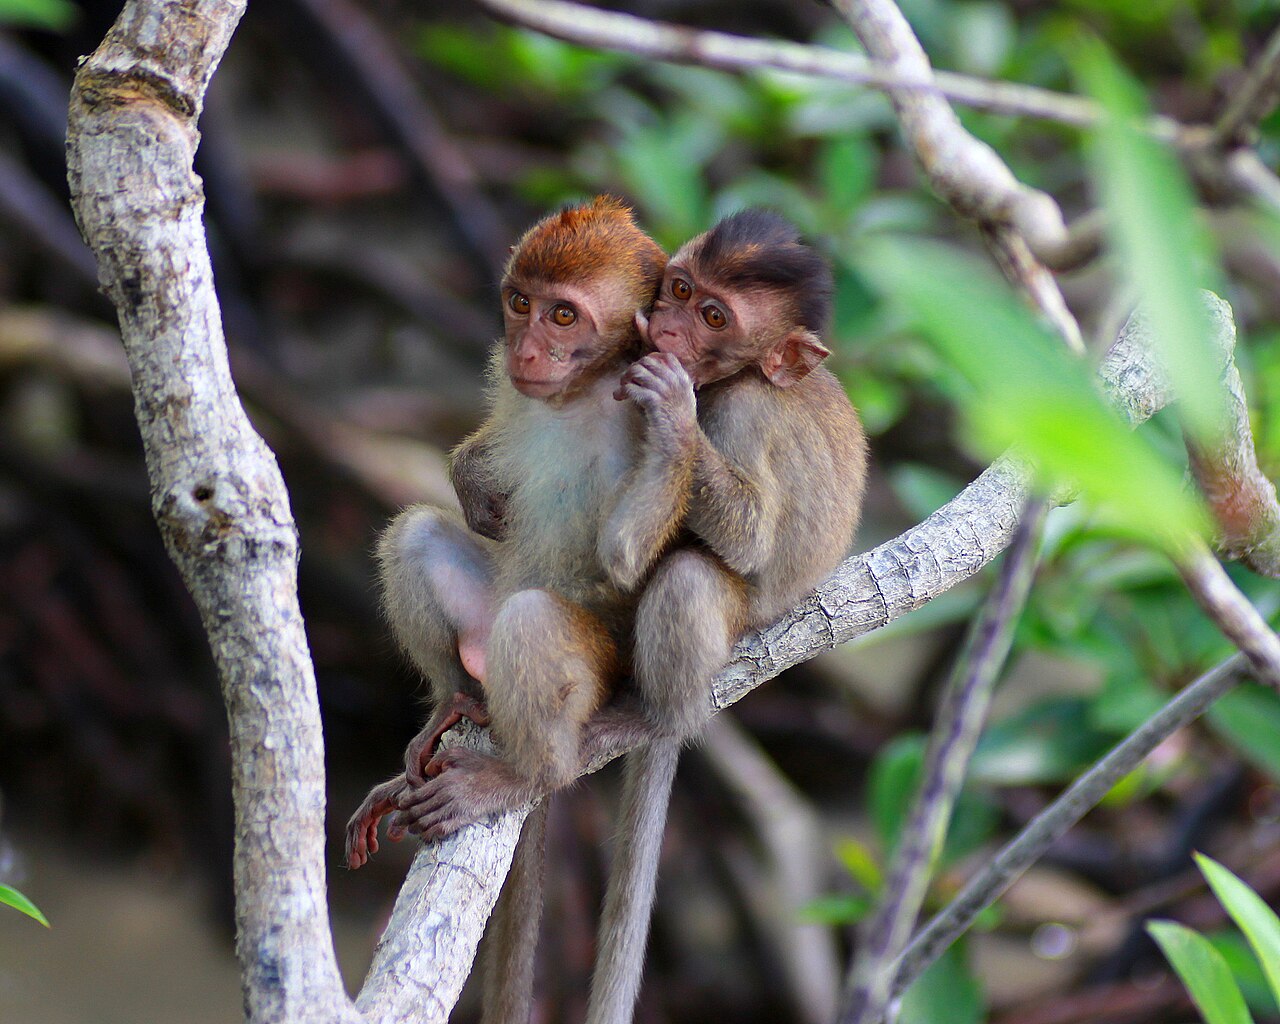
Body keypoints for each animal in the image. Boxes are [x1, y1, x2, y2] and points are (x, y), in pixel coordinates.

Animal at [583, 209, 865, 1024]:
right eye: (679, 290)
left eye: (714, 318)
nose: (670, 328)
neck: (742, 376)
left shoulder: (744, 412)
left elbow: (747, 537)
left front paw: (675, 420)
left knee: (689, 577)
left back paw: (654, 716)